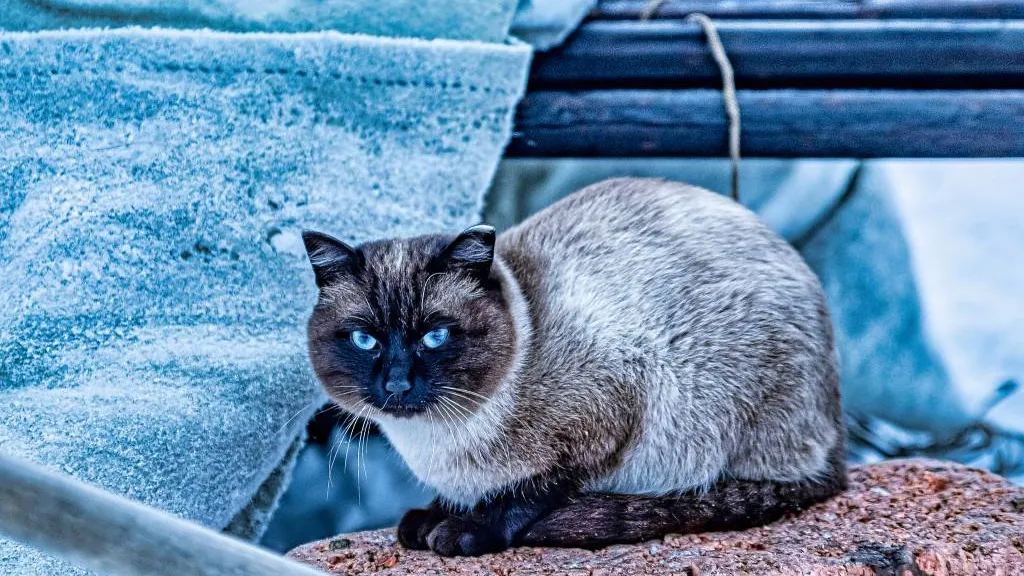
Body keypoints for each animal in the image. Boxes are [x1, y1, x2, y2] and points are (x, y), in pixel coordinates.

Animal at [299, 177, 843, 553]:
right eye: (365, 340)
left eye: (435, 337)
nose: (396, 384)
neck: (438, 442)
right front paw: (433, 517)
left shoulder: (606, 419)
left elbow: (531, 492)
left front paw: (467, 529)